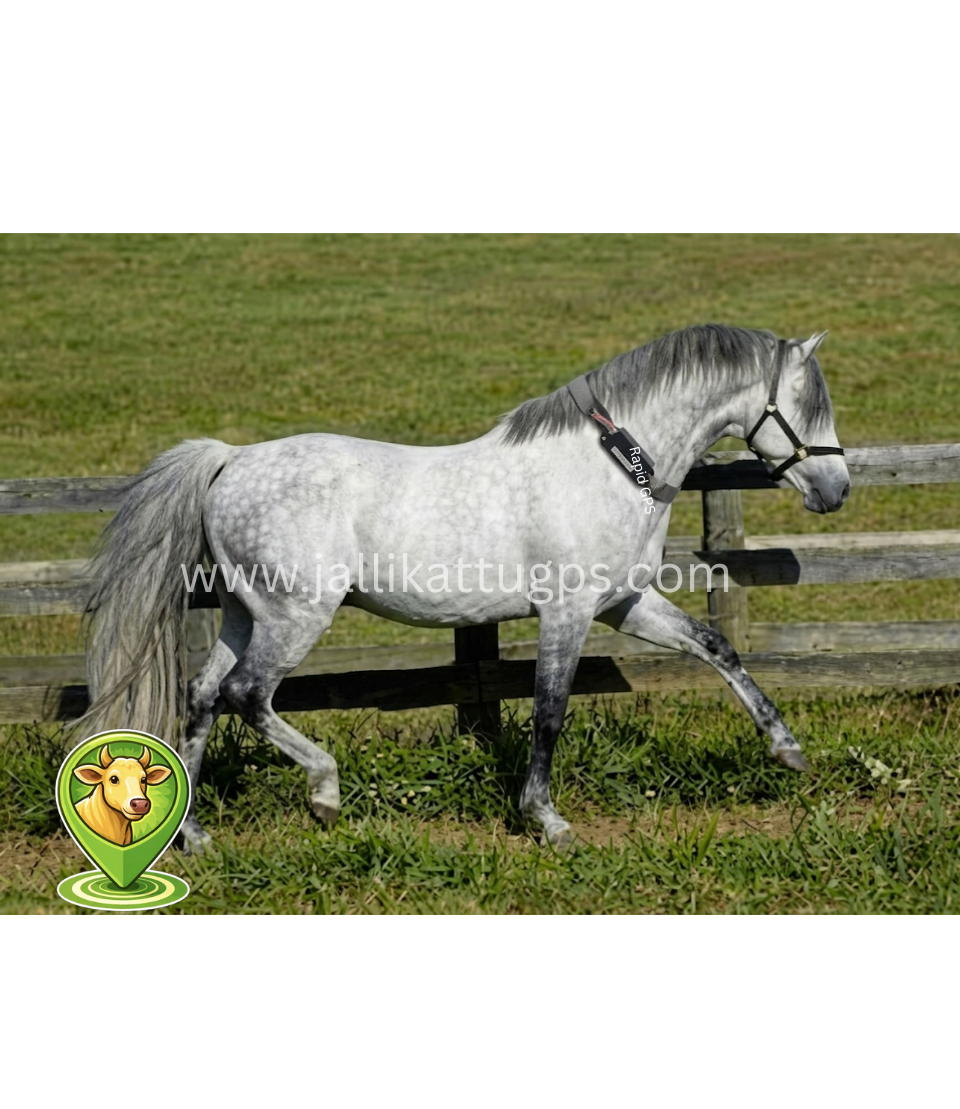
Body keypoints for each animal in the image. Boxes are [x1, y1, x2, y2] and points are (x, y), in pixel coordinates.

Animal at [82, 324, 850, 850]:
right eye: (808, 403)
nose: (837, 489)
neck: (609, 467)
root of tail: (230, 460)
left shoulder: (624, 604)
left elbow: (718, 647)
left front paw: (788, 751)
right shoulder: (567, 612)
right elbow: (549, 711)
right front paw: (546, 820)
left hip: (246, 614)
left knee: (202, 696)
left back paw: (192, 836)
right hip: (295, 615)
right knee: (247, 695)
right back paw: (325, 793)